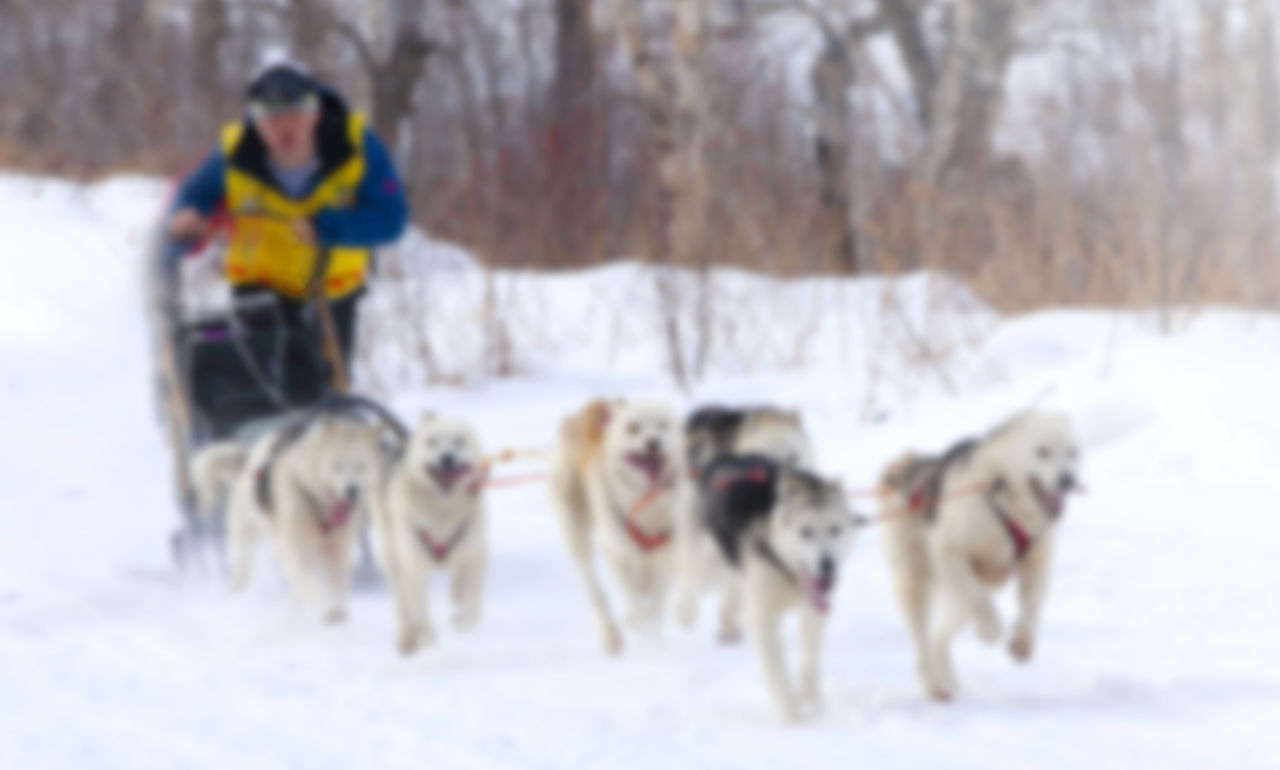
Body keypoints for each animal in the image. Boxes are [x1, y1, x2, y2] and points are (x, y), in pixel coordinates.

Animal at [373, 411, 491, 654]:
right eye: (432, 442)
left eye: (459, 441)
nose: (447, 457)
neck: (441, 509)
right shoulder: (413, 564)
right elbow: (419, 607)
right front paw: (427, 635)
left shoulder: (475, 551)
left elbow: (470, 592)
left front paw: (463, 616)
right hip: (392, 559)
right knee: (403, 604)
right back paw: (407, 637)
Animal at [550, 396, 691, 652]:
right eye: (633, 428)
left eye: (663, 425)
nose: (654, 442)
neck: (646, 504)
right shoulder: (619, 554)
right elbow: (636, 602)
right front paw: (646, 638)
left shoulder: (666, 555)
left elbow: (656, 604)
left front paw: (654, 639)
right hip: (575, 532)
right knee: (595, 589)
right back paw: (610, 633)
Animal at [880, 411, 1080, 700]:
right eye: (1042, 452)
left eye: (1073, 452)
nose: (1068, 480)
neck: (1004, 495)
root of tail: (907, 465)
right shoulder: (950, 552)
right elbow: (981, 603)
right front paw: (990, 631)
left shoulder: (1036, 562)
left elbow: (1032, 603)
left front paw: (1023, 642)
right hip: (916, 582)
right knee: (922, 640)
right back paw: (934, 684)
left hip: (957, 595)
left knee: (940, 636)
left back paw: (948, 677)